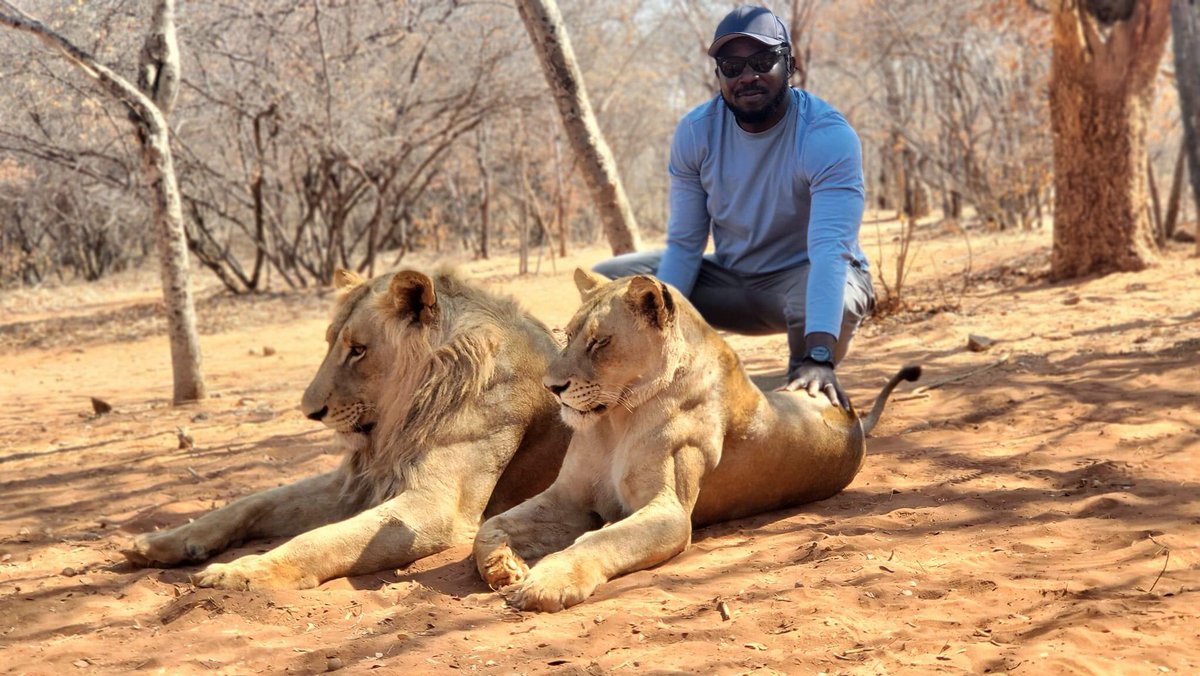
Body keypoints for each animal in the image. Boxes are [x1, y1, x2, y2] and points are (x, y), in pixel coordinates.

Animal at [122, 268, 571, 589]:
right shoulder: (355, 482)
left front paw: (242, 572)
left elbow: (318, 540)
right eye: (330, 343)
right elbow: (252, 502)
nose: (310, 411)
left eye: (358, 350)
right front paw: (162, 542)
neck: (400, 419)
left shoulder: (435, 508)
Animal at [473, 269, 919, 612]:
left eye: (600, 342)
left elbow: (598, 541)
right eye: (566, 337)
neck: (615, 421)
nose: (551, 387)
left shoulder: (670, 513)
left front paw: (547, 582)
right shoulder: (568, 496)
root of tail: (854, 418)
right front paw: (503, 566)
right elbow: (490, 525)